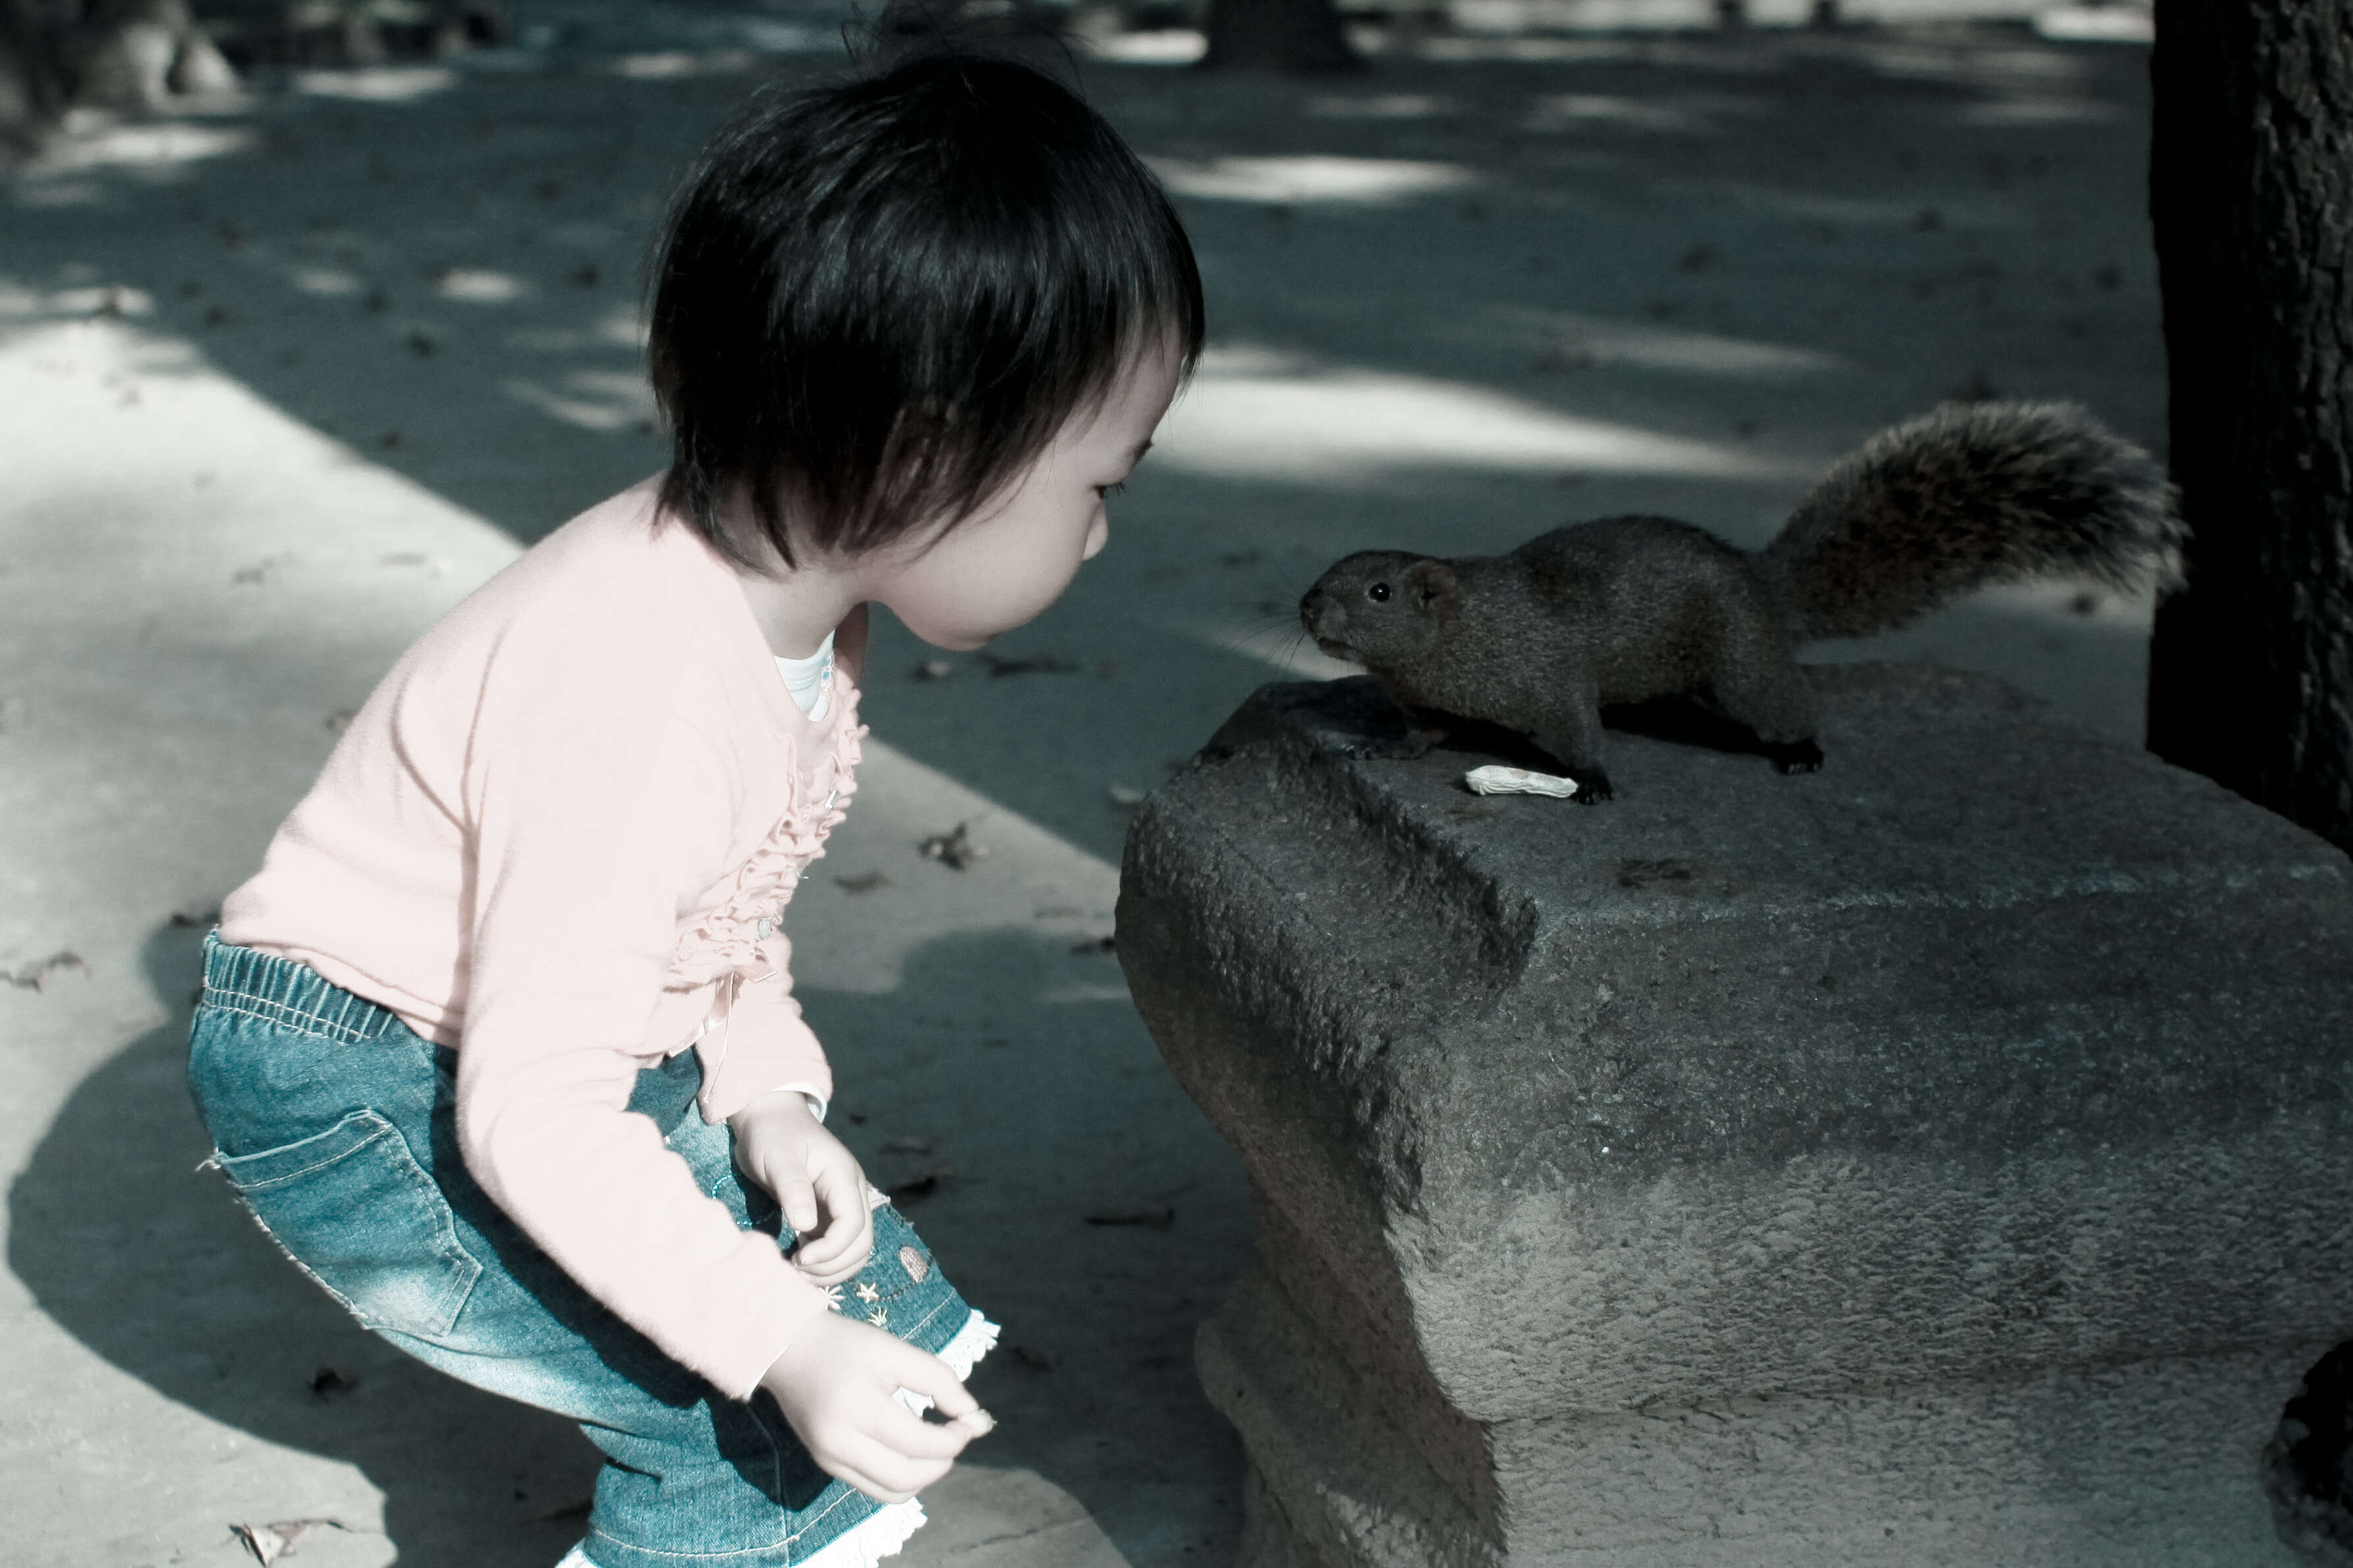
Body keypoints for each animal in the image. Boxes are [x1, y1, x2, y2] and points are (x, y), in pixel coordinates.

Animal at [1298, 399, 2174, 803]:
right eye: (1326, 572)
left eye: (1378, 591)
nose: (1307, 610)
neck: (1450, 641)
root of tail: (1761, 584)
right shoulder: (1427, 699)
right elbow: (1424, 734)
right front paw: (1384, 749)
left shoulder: (1546, 674)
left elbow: (1577, 729)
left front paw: (1593, 781)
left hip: (1742, 665)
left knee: (1783, 703)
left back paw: (1801, 750)